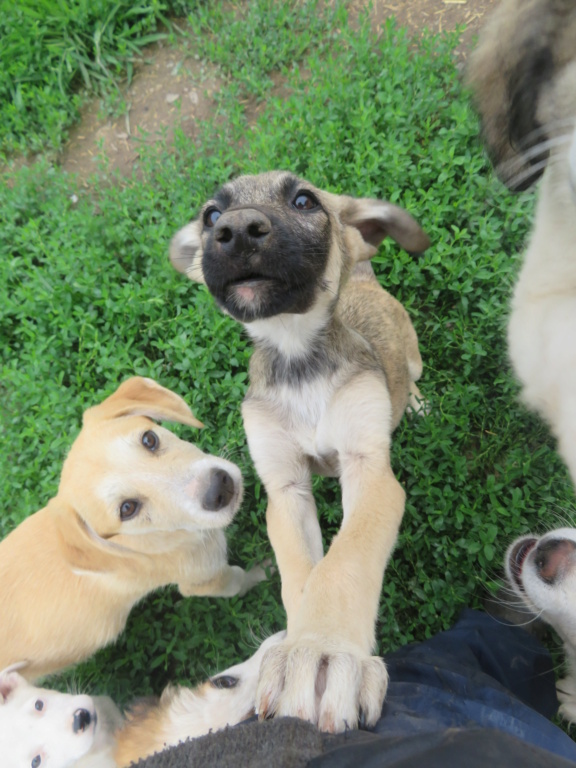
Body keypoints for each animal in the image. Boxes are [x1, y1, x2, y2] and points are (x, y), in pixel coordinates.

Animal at [0, 376, 268, 680]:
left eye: (149, 439)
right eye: (127, 508)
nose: (220, 489)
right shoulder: (205, 580)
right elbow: (240, 579)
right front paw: (265, 572)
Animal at [169, 172, 430, 732]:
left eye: (304, 200)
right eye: (209, 214)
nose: (235, 231)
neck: (298, 359)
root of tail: (364, 280)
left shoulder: (369, 470)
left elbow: (344, 560)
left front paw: (325, 651)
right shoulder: (285, 488)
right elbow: (300, 576)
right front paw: (295, 647)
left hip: (413, 355)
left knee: (412, 375)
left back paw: (416, 404)